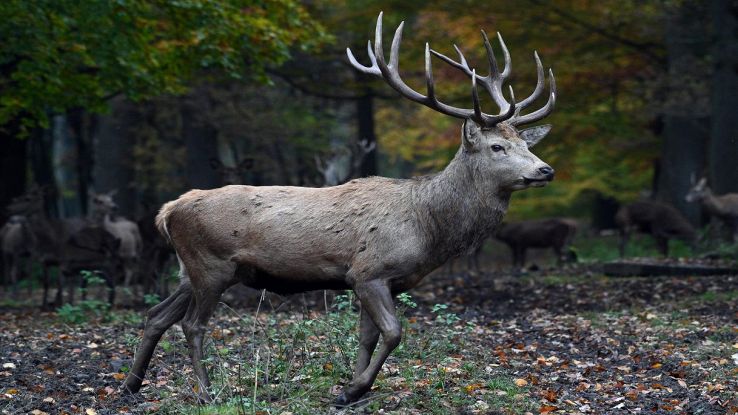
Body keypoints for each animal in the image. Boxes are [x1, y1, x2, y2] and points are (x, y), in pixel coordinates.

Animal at [123, 12, 556, 406]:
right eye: (497, 147)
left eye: (526, 144)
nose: (545, 169)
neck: (429, 227)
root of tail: (168, 211)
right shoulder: (369, 270)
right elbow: (394, 332)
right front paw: (352, 389)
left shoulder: (376, 280)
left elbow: (367, 336)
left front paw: (354, 391)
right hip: (211, 265)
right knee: (192, 325)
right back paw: (207, 392)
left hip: (189, 270)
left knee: (157, 314)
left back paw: (131, 385)